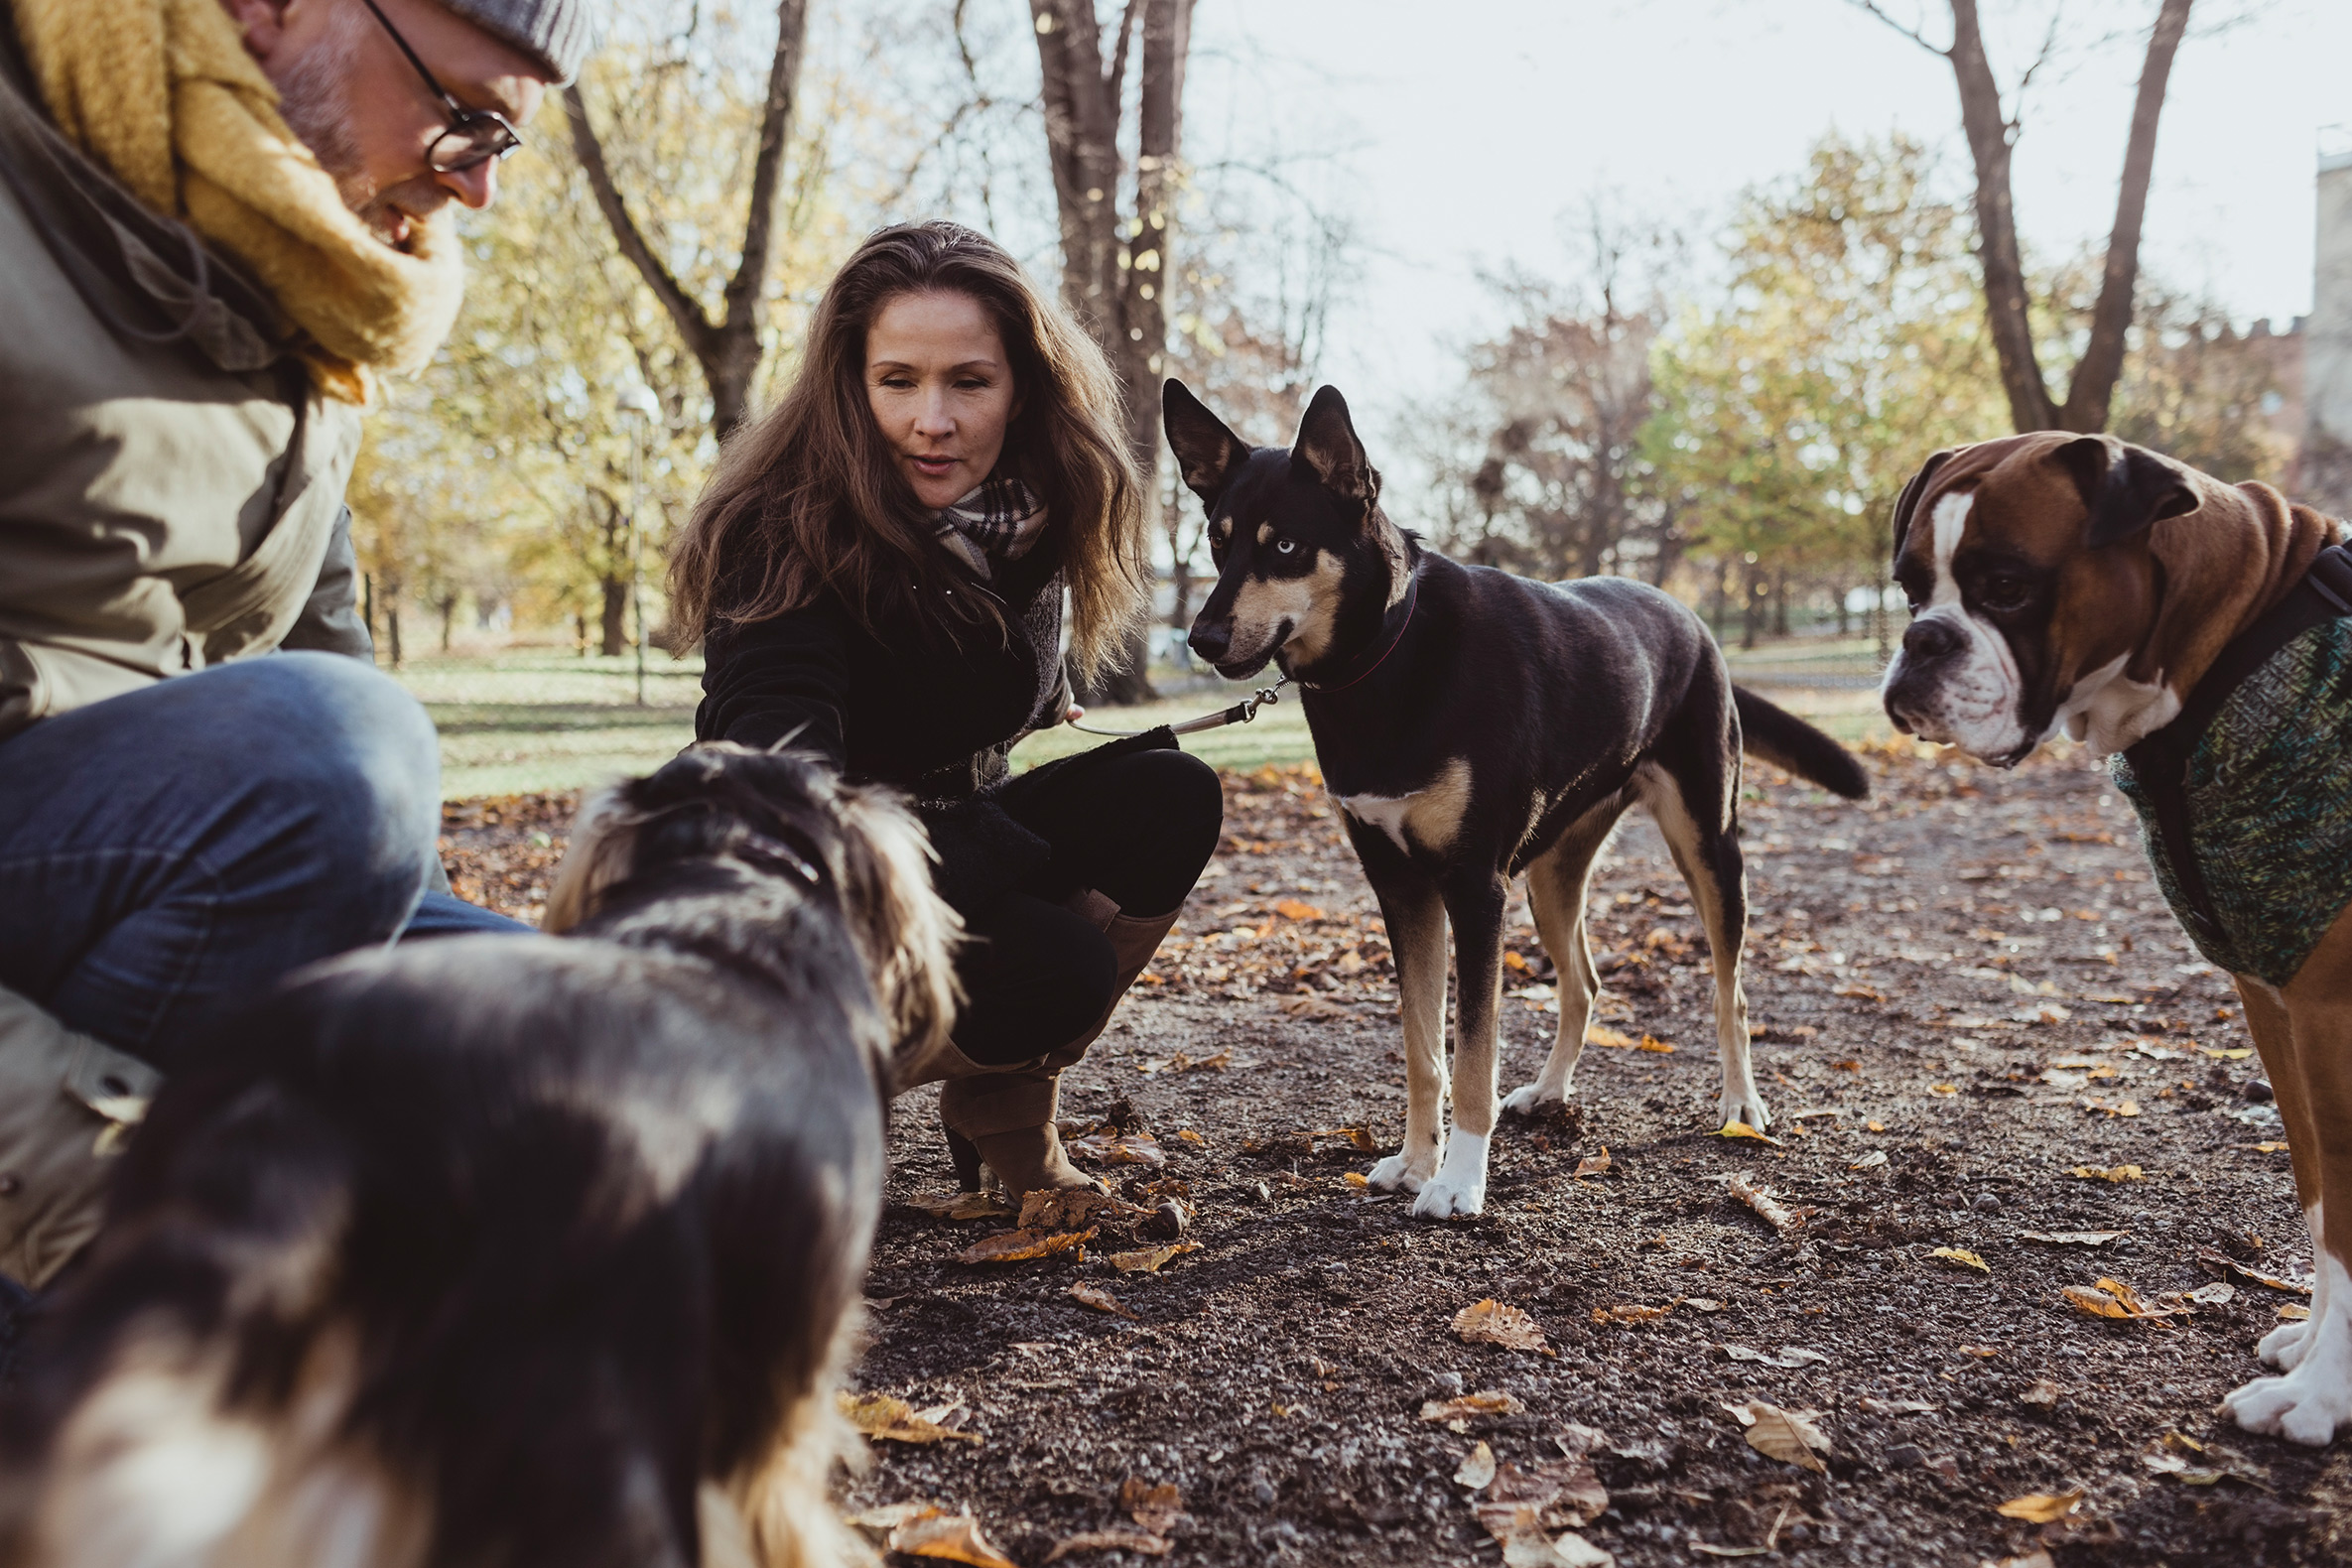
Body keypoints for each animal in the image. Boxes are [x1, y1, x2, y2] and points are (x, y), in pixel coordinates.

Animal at [1166, 383, 1863, 1222]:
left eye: (1286, 547)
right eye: (1217, 543)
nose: (1202, 638)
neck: (1384, 659)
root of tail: (1693, 619)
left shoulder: (1474, 890)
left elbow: (1472, 1055)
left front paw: (1460, 1181)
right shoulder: (1401, 889)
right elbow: (1423, 1049)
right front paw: (1416, 1161)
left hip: (1708, 845)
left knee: (1732, 993)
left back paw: (1741, 1105)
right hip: (1552, 877)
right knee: (1584, 984)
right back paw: (1551, 1092)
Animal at [1872, 430, 2352, 1448]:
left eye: (2007, 585)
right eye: (1910, 590)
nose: (1921, 640)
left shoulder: (2330, 1012)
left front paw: (2326, 1393)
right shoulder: (2279, 1006)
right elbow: (2321, 1197)